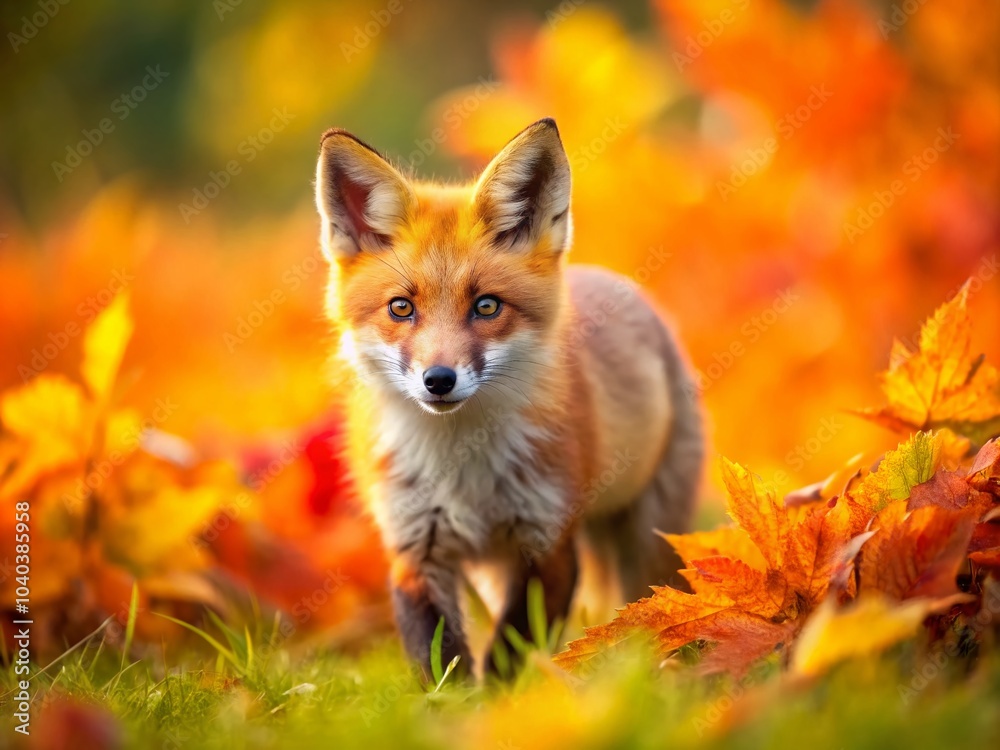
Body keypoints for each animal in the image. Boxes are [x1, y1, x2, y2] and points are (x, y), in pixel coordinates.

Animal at [314, 118, 703, 679]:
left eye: (487, 306)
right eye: (401, 308)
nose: (438, 379)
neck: (461, 468)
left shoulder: (549, 542)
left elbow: (508, 652)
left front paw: (504, 700)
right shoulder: (415, 548)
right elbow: (440, 660)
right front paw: (452, 702)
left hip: (650, 534)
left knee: (648, 599)